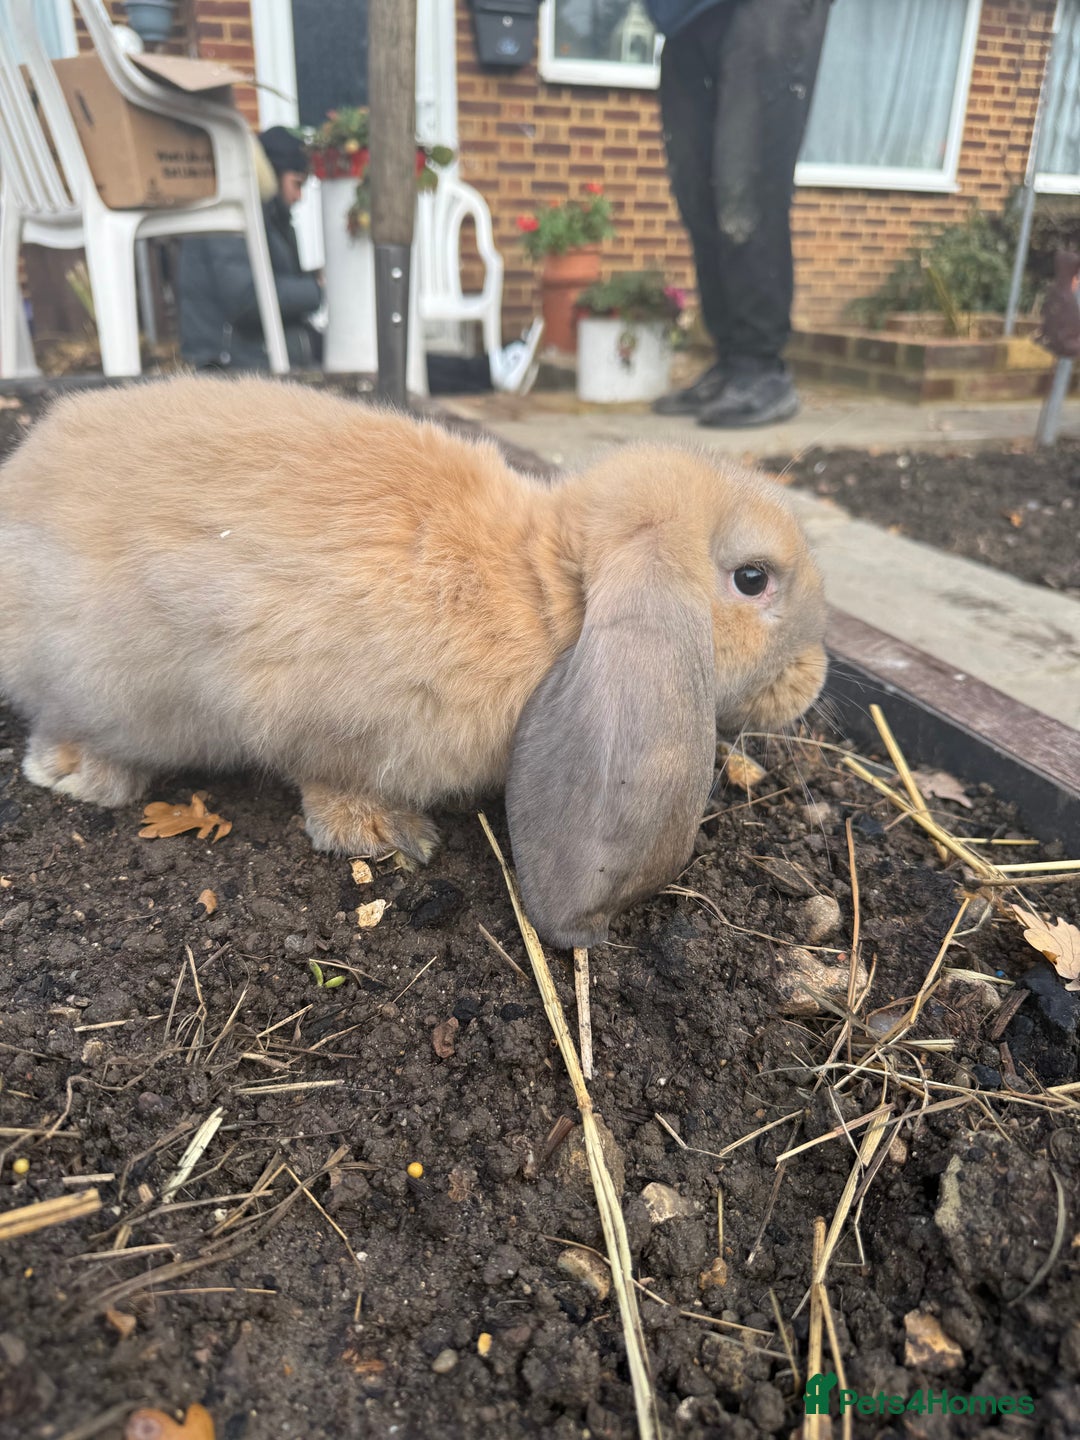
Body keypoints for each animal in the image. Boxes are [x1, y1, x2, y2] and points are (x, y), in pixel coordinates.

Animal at [0, 375, 826, 948]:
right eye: (753, 578)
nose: (814, 681)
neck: (545, 586)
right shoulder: (327, 721)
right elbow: (329, 783)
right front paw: (386, 835)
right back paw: (79, 773)